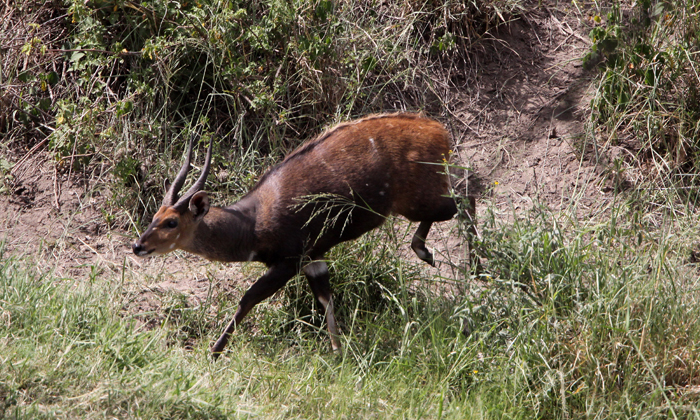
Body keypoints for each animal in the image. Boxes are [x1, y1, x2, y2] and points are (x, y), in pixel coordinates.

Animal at [131, 113, 476, 360]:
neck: (253, 223)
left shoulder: (289, 261)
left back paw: (462, 265)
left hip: (417, 201)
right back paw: (436, 255)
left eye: (172, 222)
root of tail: (440, 131)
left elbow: (248, 298)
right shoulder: (314, 259)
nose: (138, 246)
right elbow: (326, 299)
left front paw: (214, 352)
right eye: (155, 216)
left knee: (466, 199)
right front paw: (338, 354)